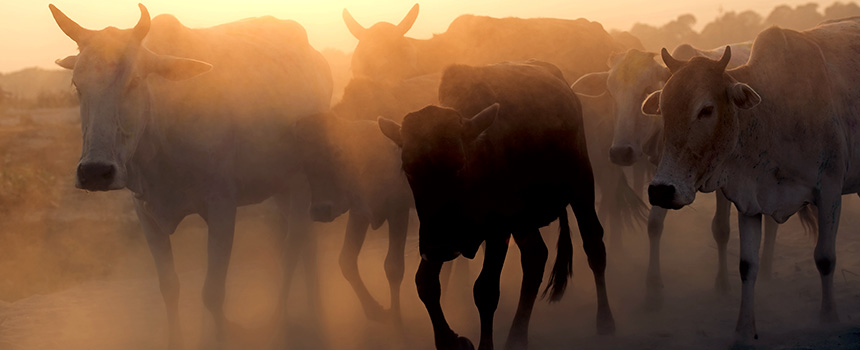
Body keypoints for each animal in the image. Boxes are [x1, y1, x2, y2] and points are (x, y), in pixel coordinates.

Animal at [48, 4, 332, 348]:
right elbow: (169, 286)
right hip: (281, 185)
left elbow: (213, 293)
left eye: (134, 80)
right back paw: (315, 311)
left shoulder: (222, 207)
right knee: (306, 244)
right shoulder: (146, 212)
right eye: (77, 85)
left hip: (303, 179)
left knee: (293, 246)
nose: (94, 172)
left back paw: (280, 323)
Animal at [380, 60, 616, 350]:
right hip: (524, 220)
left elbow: (485, 291)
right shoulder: (437, 237)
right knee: (536, 256)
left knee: (593, 245)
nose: (441, 247)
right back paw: (517, 336)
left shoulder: (497, 231)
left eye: (459, 164)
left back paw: (605, 320)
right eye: (409, 169)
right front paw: (452, 341)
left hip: (581, 184)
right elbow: (425, 284)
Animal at [572, 42, 808, 308]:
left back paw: (766, 267)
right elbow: (654, 225)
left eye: (647, 90)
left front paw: (722, 283)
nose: (621, 152)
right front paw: (653, 289)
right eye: (611, 93)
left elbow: (721, 229)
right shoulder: (663, 178)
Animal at [640, 17, 860, 344]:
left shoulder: (830, 191)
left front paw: (828, 319)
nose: (661, 191)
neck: (775, 114)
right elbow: (747, 267)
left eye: (706, 110)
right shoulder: (750, 202)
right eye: (663, 109)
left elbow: (825, 258)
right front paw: (744, 330)